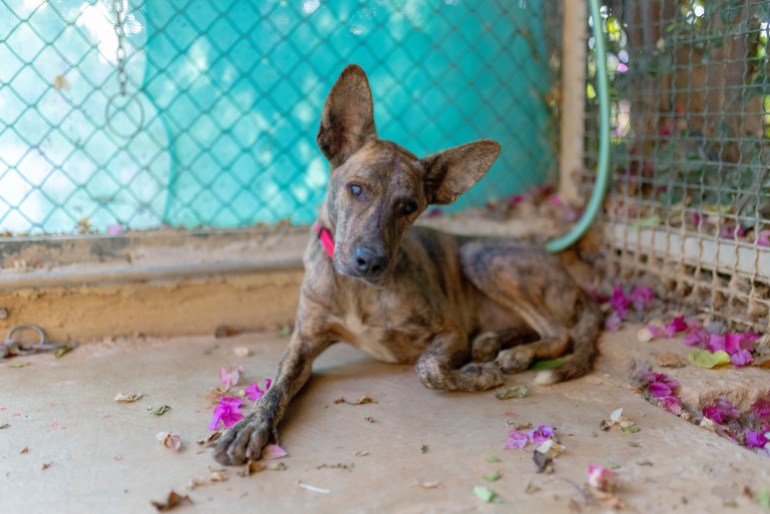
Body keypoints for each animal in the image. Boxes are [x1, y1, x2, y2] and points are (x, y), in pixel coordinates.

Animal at [212, 64, 600, 464]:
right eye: (356, 189)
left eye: (409, 206)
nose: (370, 262)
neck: (357, 291)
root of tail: (575, 284)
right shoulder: (304, 341)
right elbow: (277, 384)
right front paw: (252, 424)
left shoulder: (450, 331)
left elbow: (427, 368)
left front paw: (478, 376)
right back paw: (492, 342)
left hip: (479, 255)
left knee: (560, 333)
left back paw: (515, 353)